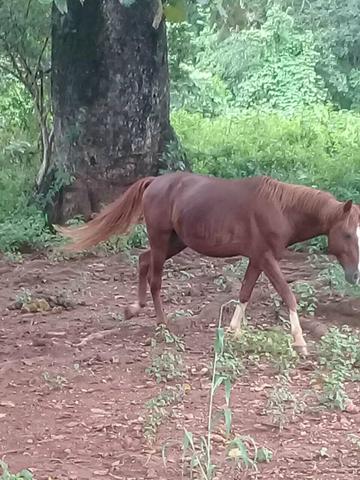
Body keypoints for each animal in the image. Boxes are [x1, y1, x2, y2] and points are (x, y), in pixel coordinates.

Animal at [56, 172, 360, 356]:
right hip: (161, 238)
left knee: (143, 261)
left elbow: (245, 292)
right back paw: (162, 324)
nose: (354, 275)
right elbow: (288, 295)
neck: (281, 208)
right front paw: (300, 341)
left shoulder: (256, 259)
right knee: (155, 278)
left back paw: (134, 309)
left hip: (176, 242)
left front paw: (234, 331)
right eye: (347, 234)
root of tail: (154, 182)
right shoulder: (266, 257)